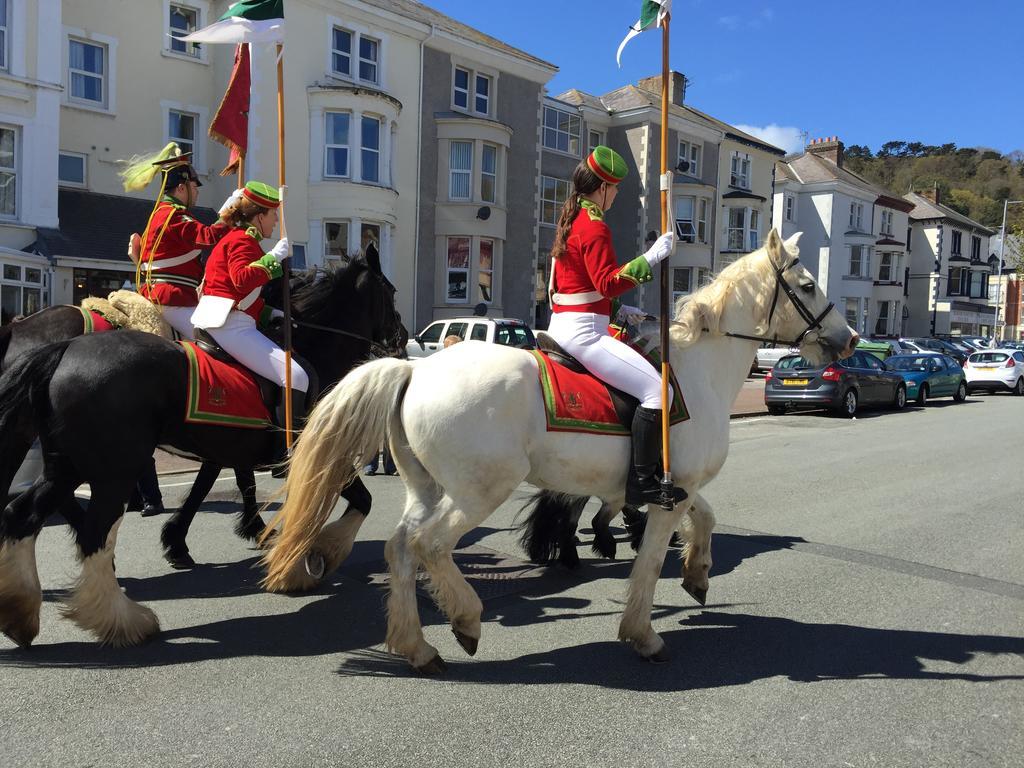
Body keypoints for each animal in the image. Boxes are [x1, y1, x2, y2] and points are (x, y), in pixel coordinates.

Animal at [262, 230, 856, 671]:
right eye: (806, 284)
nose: (849, 339)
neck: (697, 371)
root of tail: (415, 367)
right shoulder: (669, 495)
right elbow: (648, 564)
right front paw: (643, 633)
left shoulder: (674, 487)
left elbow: (705, 518)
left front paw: (697, 574)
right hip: (477, 492)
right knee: (430, 546)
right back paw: (466, 619)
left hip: (427, 489)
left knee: (401, 549)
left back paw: (417, 646)